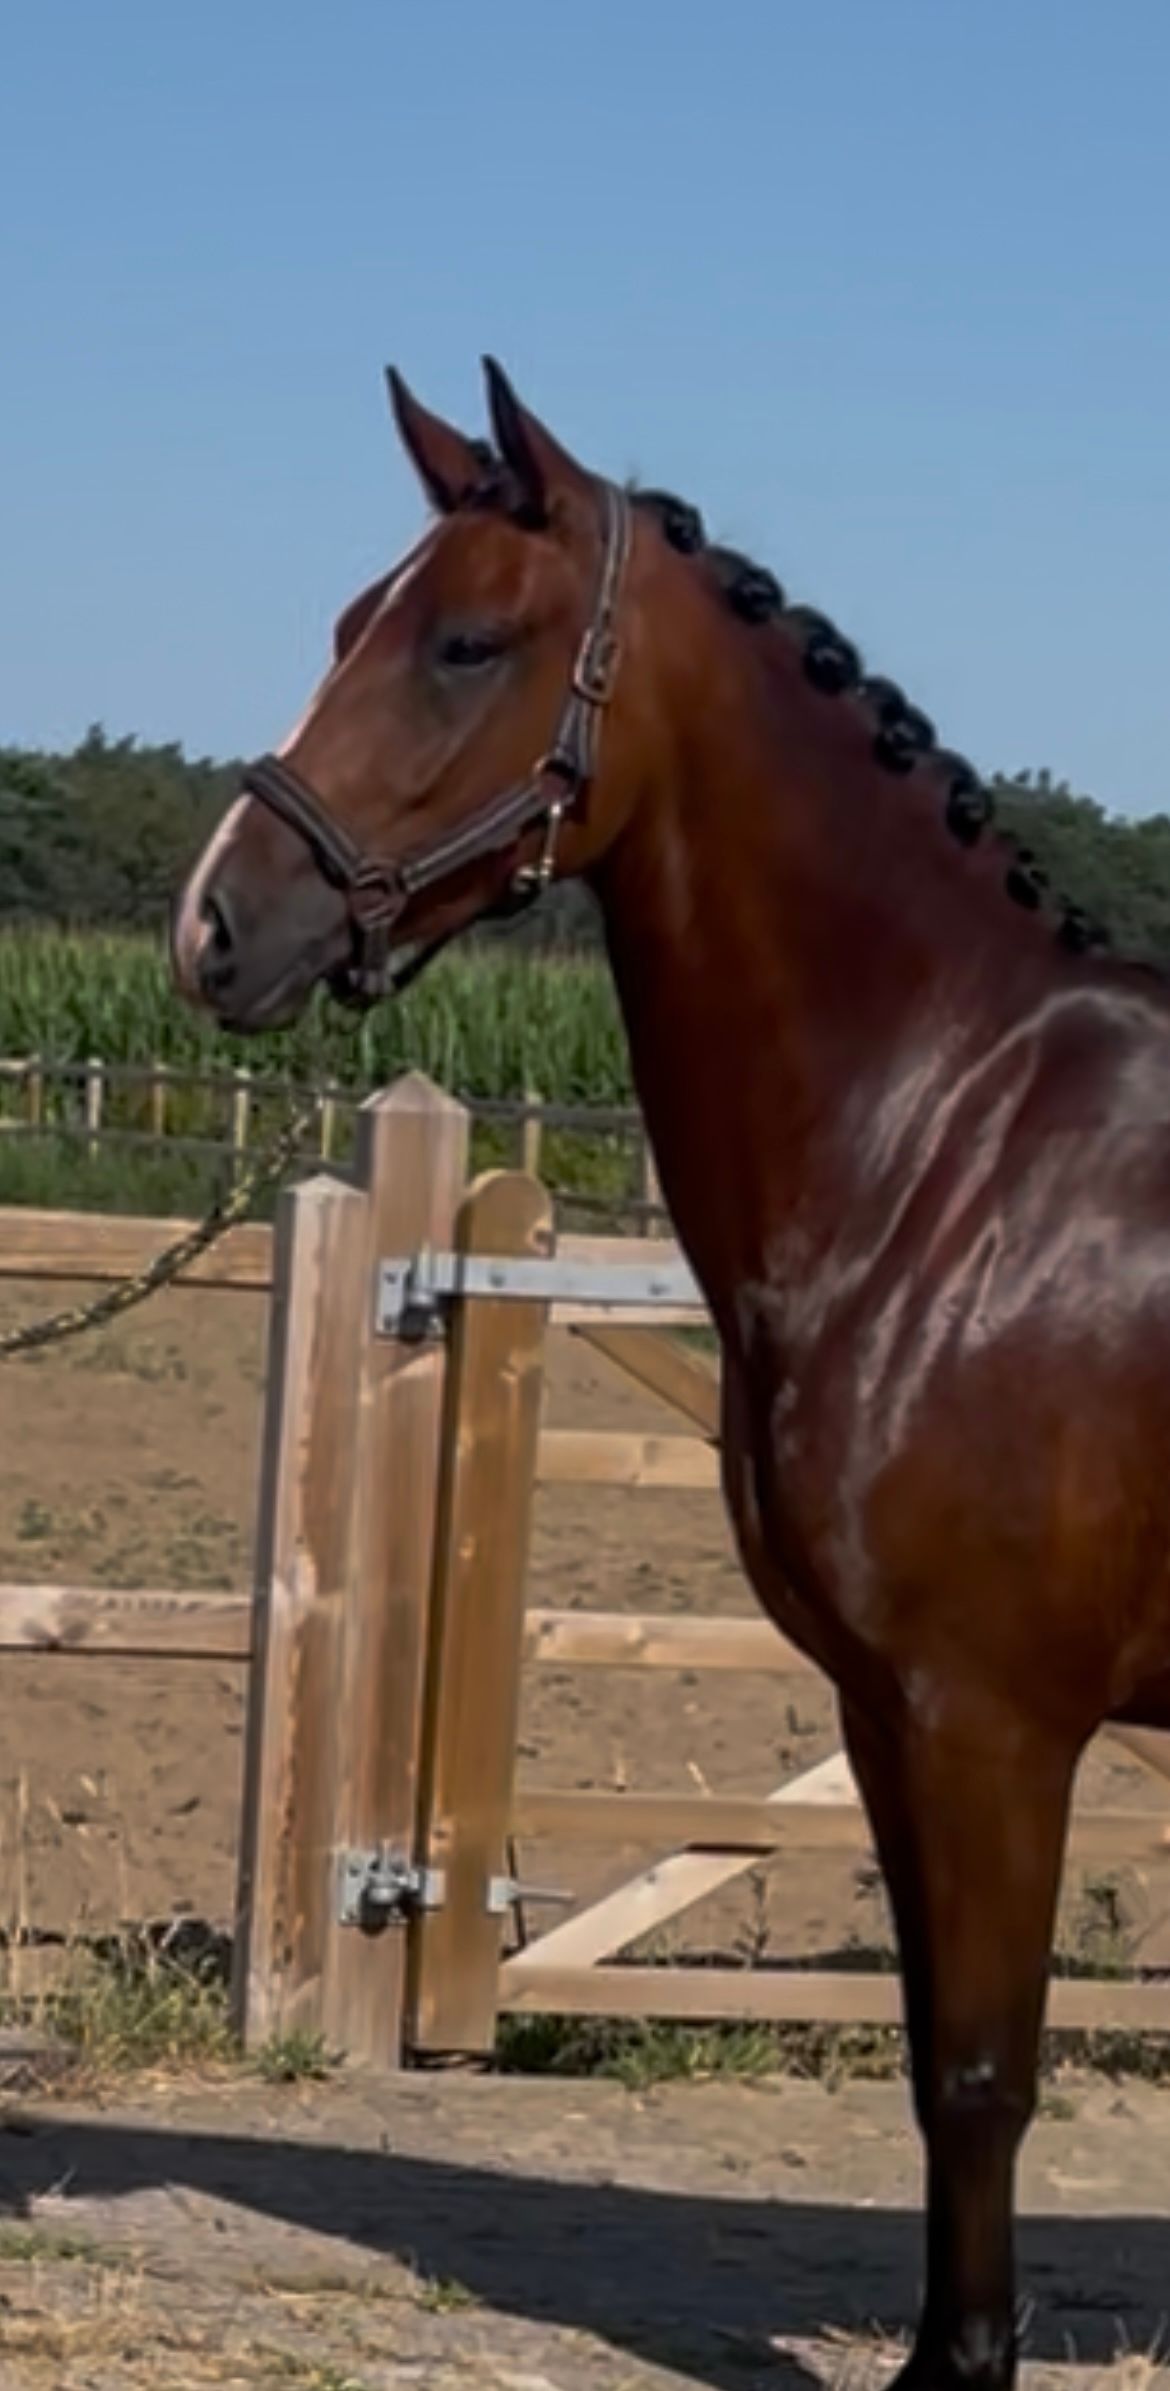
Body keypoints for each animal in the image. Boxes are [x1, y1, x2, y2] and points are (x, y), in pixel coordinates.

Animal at [173, 357, 1170, 2391]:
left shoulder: (989, 1721)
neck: (964, 1150)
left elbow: (980, 2073)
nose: (214, 929)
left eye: (465, 641)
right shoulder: (885, 1714)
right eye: (348, 619)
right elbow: (934, 2057)